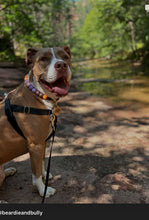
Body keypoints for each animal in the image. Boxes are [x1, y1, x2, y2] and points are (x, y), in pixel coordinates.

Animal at [0, 46, 72, 198]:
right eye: (43, 59)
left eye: (65, 57)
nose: (62, 65)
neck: (38, 94)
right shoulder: (36, 145)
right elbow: (36, 173)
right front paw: (43, 189)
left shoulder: (42, 143)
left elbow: (42, 163)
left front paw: (46, 175)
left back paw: (8, 170)